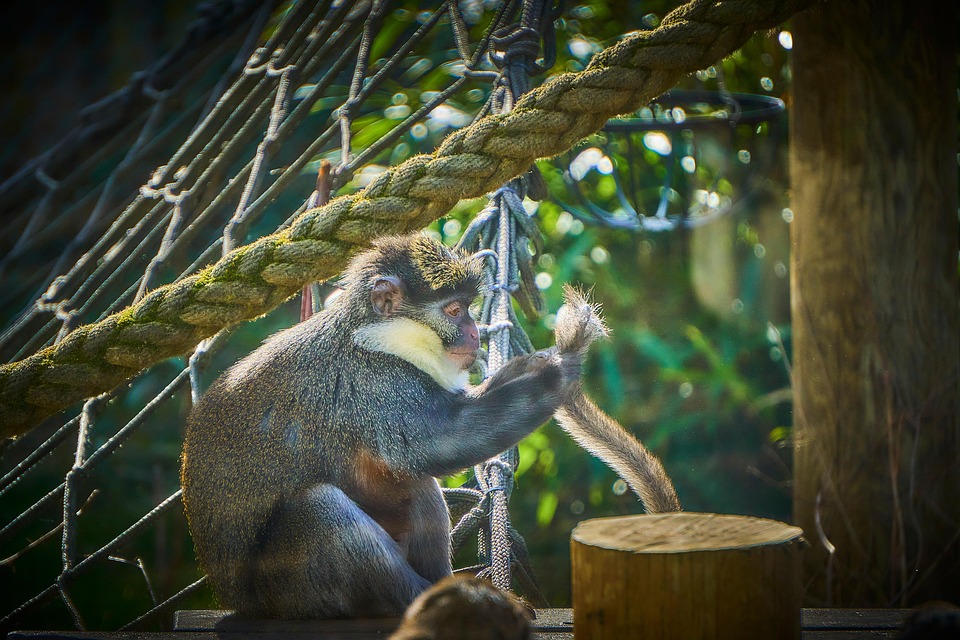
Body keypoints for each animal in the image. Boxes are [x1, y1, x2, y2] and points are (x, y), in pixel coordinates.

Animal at [180, 233, 585, 619]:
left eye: (468, 309)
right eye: (454, 311)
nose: (474, 333)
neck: (372, 337)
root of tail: (237, 599)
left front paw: (533, 364)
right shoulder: (376, 385)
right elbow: (440, 441)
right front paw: (559, 370)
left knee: (416, 486)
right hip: (287, 591)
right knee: (320, 508)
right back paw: (418, 597)